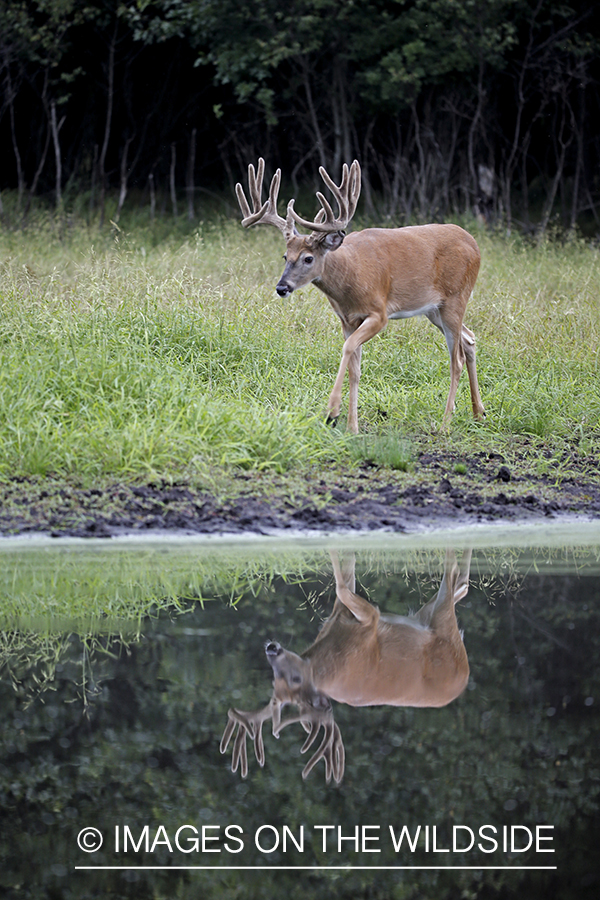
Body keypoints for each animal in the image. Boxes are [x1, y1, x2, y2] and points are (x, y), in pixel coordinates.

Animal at [220, 544, 474, 784]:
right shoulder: (351, 616)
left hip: (442, 625)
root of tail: (464, 673)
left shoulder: (365, 621)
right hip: (432, 619)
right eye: (276, 682)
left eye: (294, 679)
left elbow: (341, 586)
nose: (271, 648)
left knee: (456, 578)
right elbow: (344, 582)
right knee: (459, 582)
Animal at [236, 159, 488, 436]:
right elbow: (354, 368)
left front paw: (332, 412)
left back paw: (445, 424)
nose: (282, 287)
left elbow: (347, 349)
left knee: (457, 359)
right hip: (435, 310)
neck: (351, 276)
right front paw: (352, 426)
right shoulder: (347, 319)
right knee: (470, 339)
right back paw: (479, 413)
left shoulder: (379, 313)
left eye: (308, 258)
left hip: (456, 297)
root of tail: (475, 244)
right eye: (285, 256)